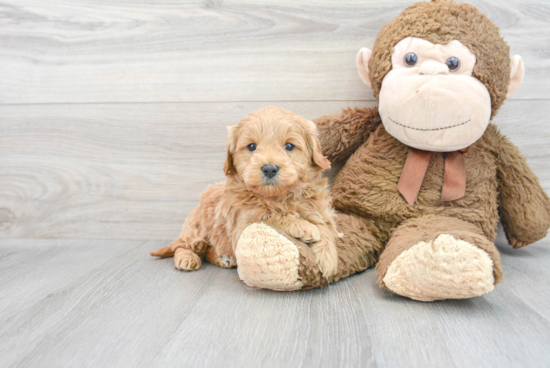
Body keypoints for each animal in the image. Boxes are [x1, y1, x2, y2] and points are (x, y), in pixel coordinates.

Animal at [151, 107, 340, 278]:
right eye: (251, 146)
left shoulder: (319, 209)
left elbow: (325, 226)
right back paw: (187, 258)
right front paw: (303, 226)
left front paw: (328, 259)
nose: (269, 169)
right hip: (197, 228)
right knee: (183, 246)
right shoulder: (243, 222)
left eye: (289, 146)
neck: (278, 196)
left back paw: (224, 258)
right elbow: (269, 215)